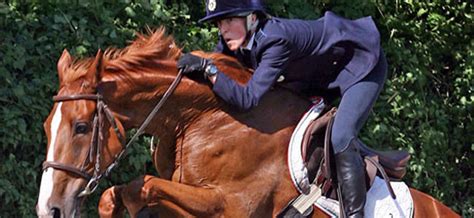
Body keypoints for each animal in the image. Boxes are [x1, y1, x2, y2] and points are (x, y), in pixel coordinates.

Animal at [37, 29, 460, 218]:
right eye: (46, 127)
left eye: (80, 127)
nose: (49, 209)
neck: (199, 119)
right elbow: (121, 193)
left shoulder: (229, 206)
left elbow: (144, 185)